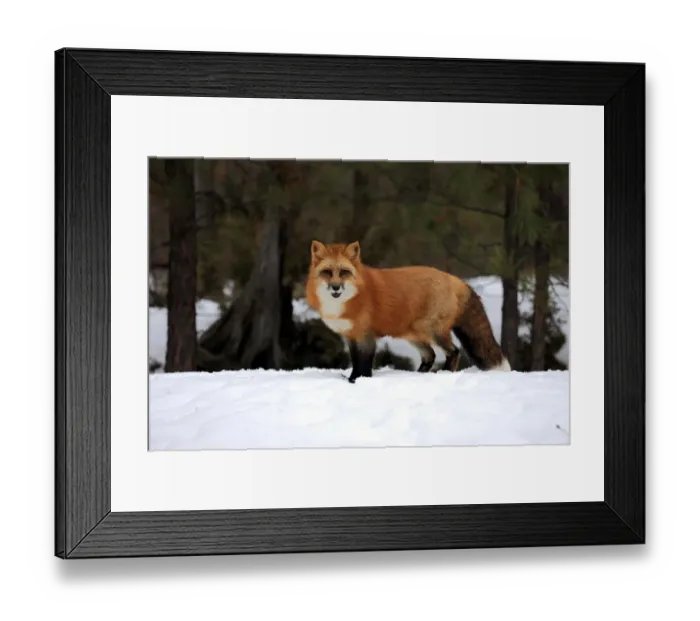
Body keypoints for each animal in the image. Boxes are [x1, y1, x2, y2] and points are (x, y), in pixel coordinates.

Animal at [305, 240, 511, 383]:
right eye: (327, 272)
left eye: (344, 272)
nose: (335, 287)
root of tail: (455, 279)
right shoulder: (351, 336)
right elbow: (355, 362)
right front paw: (352, 379)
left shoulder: (366, 336)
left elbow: (363, 364)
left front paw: (358, 381)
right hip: (413, 335)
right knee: (430, 355)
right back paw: (419, 375)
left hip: (432, 331)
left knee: (453, 351)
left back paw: (444, 372)